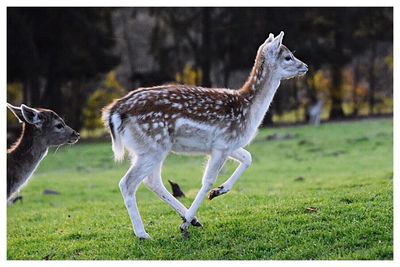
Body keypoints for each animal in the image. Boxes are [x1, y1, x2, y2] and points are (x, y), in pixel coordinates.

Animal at [102, 31, 306, 241]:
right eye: (288, 56)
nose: (305, 66)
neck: (248, 111)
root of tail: (113, 113)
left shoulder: (225, 144)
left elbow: (248, 158)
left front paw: (219, 191)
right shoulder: (223, 144)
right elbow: (207, 180)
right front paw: (185, 224)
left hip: (146, 149)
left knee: (152, 181)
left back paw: (191, 220)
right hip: (153, 146)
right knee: (128, 183)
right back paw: (144, 233)